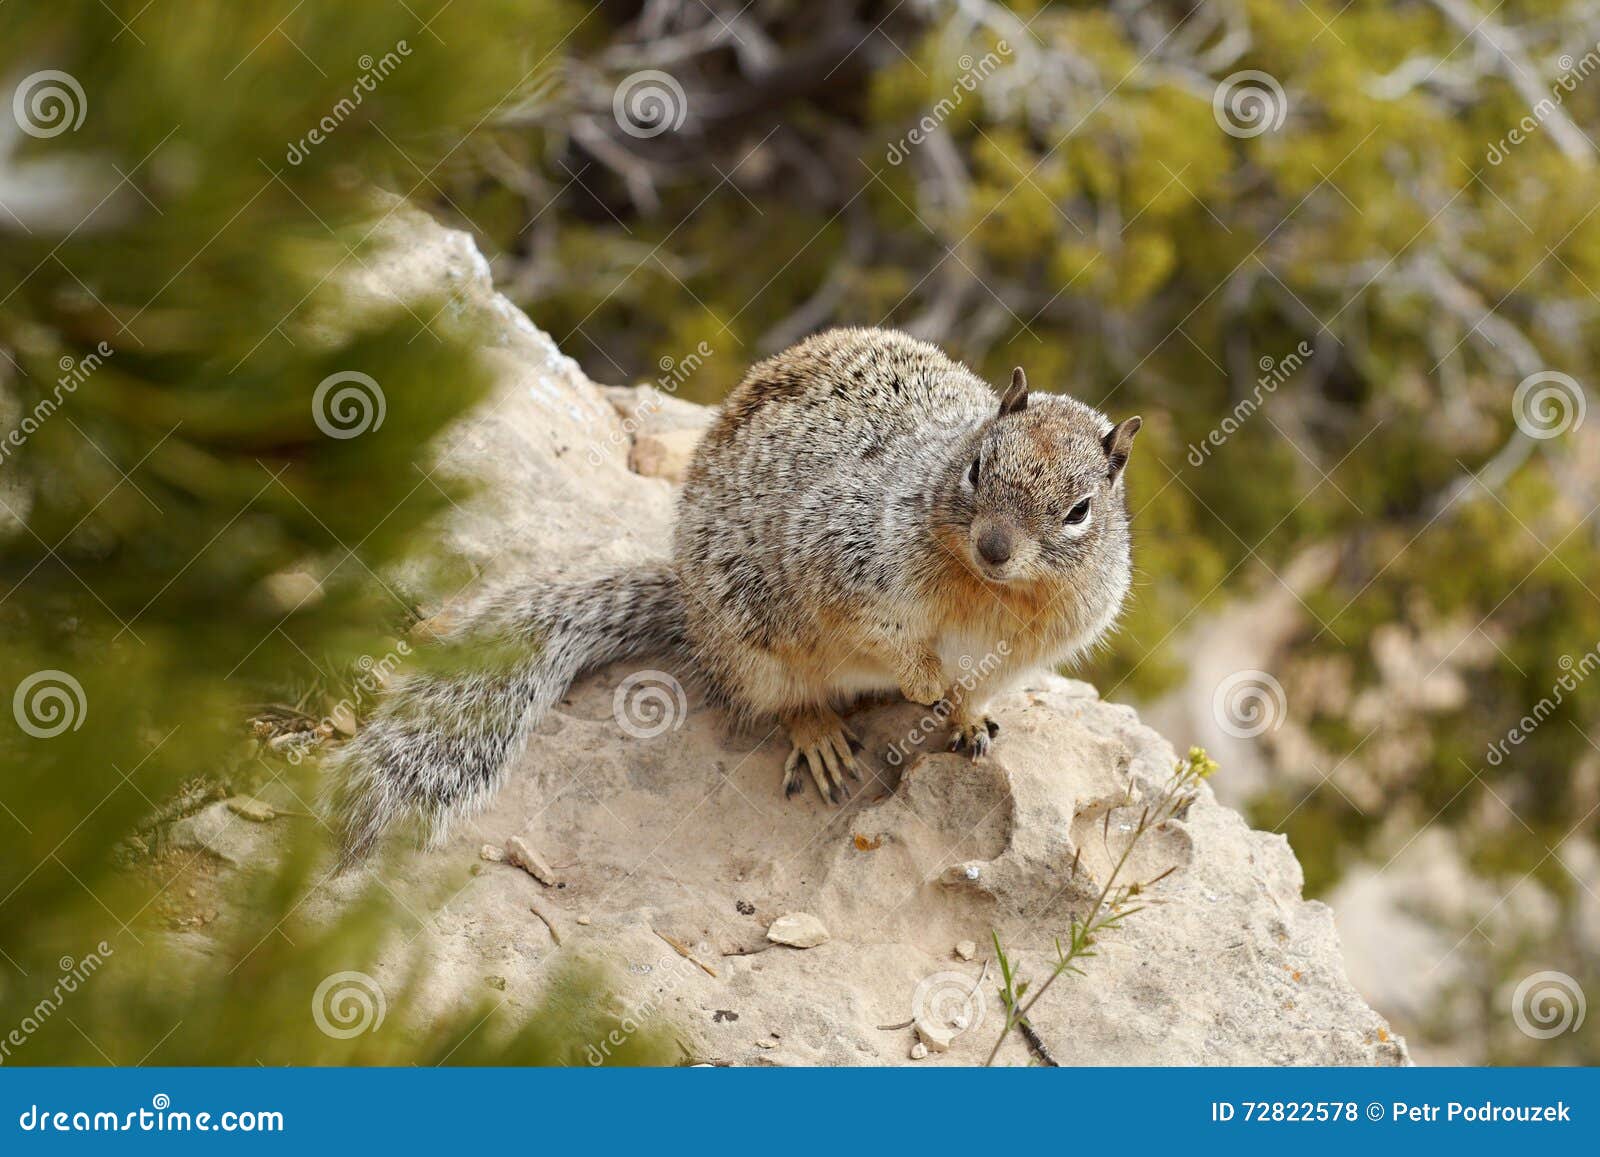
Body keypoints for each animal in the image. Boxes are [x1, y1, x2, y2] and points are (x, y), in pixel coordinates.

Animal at [332, 327, 1140, 862]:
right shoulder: (850, 561)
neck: (990, 594)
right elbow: (884, 635)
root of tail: (687, 605)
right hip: (754, 641)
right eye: (976, 468)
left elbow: (978, 687)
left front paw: (967, 719)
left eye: (1080, 511)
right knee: (785, 696)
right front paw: (923, 682)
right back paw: (819, 735)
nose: (994, 547)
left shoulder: (1027, 648)